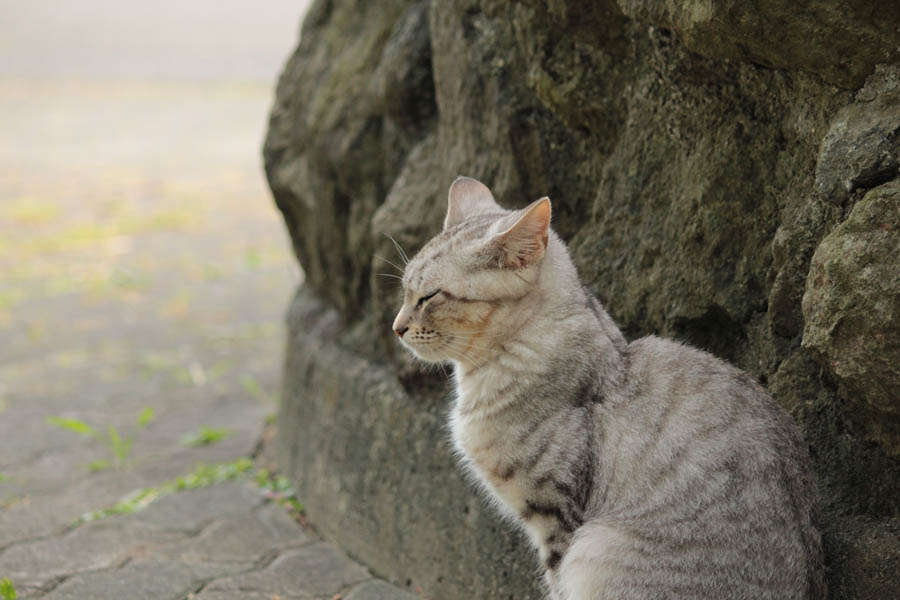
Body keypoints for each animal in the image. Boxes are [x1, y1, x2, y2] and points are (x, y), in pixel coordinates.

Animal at [390, 177, 828, 600]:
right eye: (405, 291)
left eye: (429, 296)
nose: (396, 328)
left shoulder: (557, 516)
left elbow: (557, 585)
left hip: (597, 546)